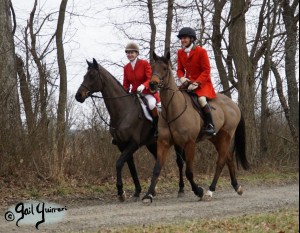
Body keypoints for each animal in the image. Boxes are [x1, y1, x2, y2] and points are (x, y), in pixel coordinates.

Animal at [75, 58, 185, 202]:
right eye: (84, 76)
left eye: (92, 76)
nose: (78, 96)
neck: (123, 112)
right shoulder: (122, 145)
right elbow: (131, 167)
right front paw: (137, 191)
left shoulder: (133, 144)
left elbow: (119, 163)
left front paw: (121, 191)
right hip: (152, 144)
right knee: (159, 160)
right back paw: (153, 191)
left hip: (176, 142)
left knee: (180, 162)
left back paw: (181, 189)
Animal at [142, 52, 250, 203]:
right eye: (152, 68)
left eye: (164, 68)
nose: (152, 84)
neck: (171, 110)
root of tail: (233, 104)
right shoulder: (163, 143)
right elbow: (157, 168)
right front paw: (148, 195)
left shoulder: (189, 143)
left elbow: (189, 171)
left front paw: (198, 191)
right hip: (216, 138)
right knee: (228, 158)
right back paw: (236, 186)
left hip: (226, 135)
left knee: (221, 161)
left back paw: (210, 191)